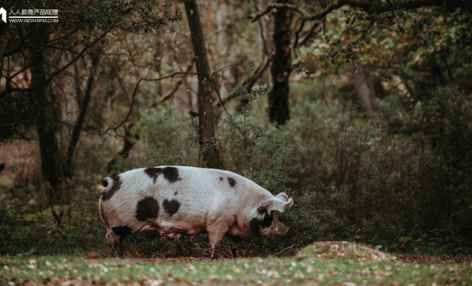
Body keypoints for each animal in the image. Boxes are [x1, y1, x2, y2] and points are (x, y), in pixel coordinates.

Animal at [97, 165, 294, 256]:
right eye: (270, 214)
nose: (287, 229)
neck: (243, 204)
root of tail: (110, 185)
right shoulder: (217, 221)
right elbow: (214, 241)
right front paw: (215, 257)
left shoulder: (228, 224)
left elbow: (237, 241)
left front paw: (238, 253)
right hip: (120, 224)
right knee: (110, 238)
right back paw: (115, 256)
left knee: (119, 240)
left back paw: (123, 255)